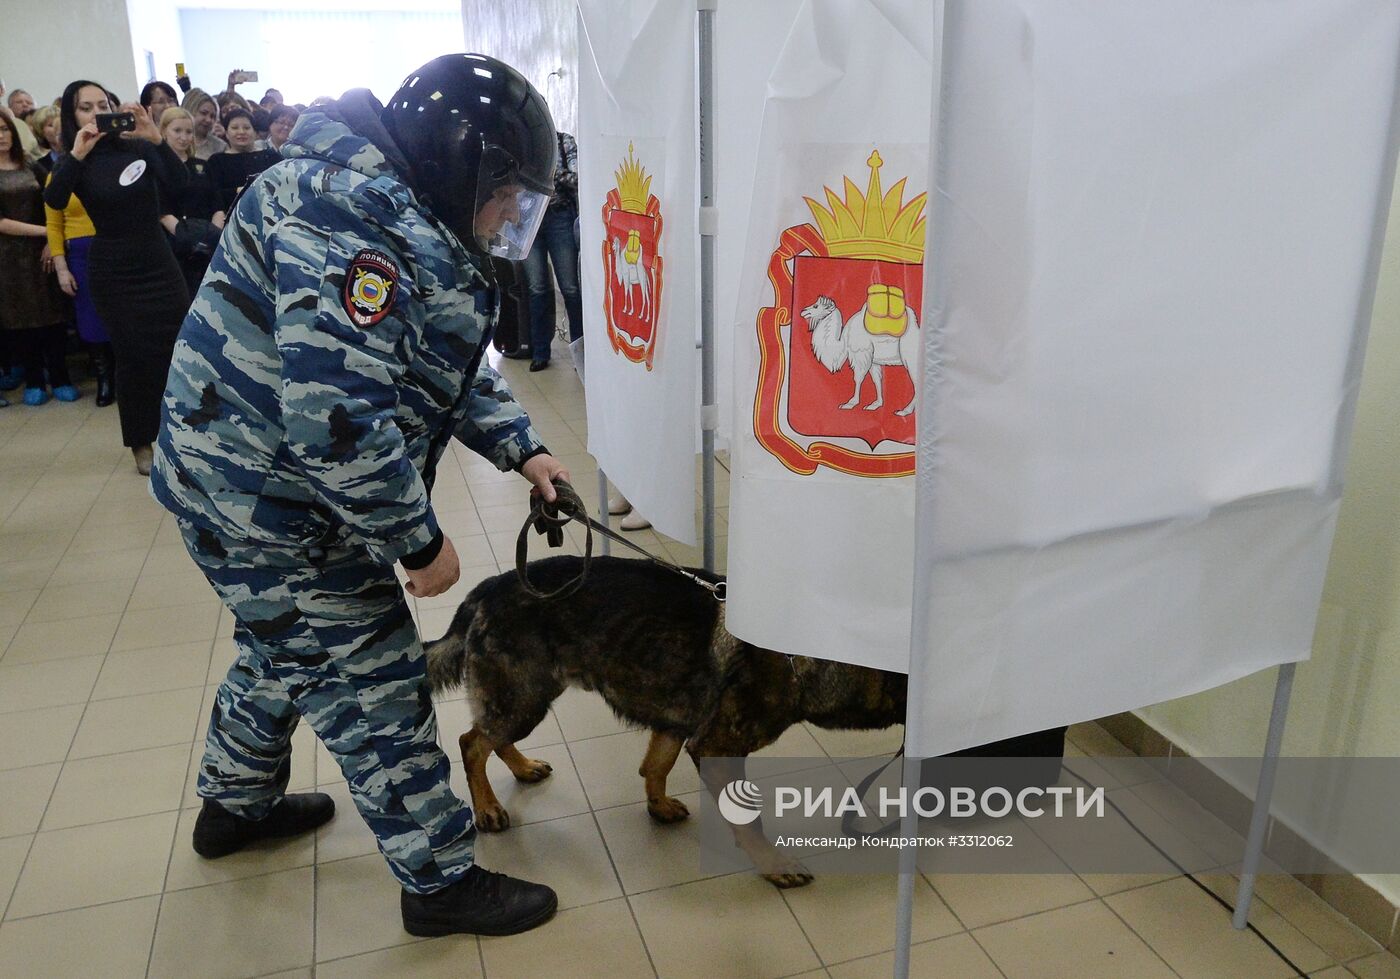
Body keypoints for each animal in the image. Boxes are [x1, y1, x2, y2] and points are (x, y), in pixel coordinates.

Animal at [425, 560, 907, 890]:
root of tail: (490, 586)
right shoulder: (717, 747)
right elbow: (748, 820)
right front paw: (774, 864)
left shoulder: (677, 721)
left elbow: (657, 764)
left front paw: (657, 805)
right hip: (524, 698)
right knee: (472, 742)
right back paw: (487, 807)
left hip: (528, 697)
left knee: (490, 734)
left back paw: (523, 768)